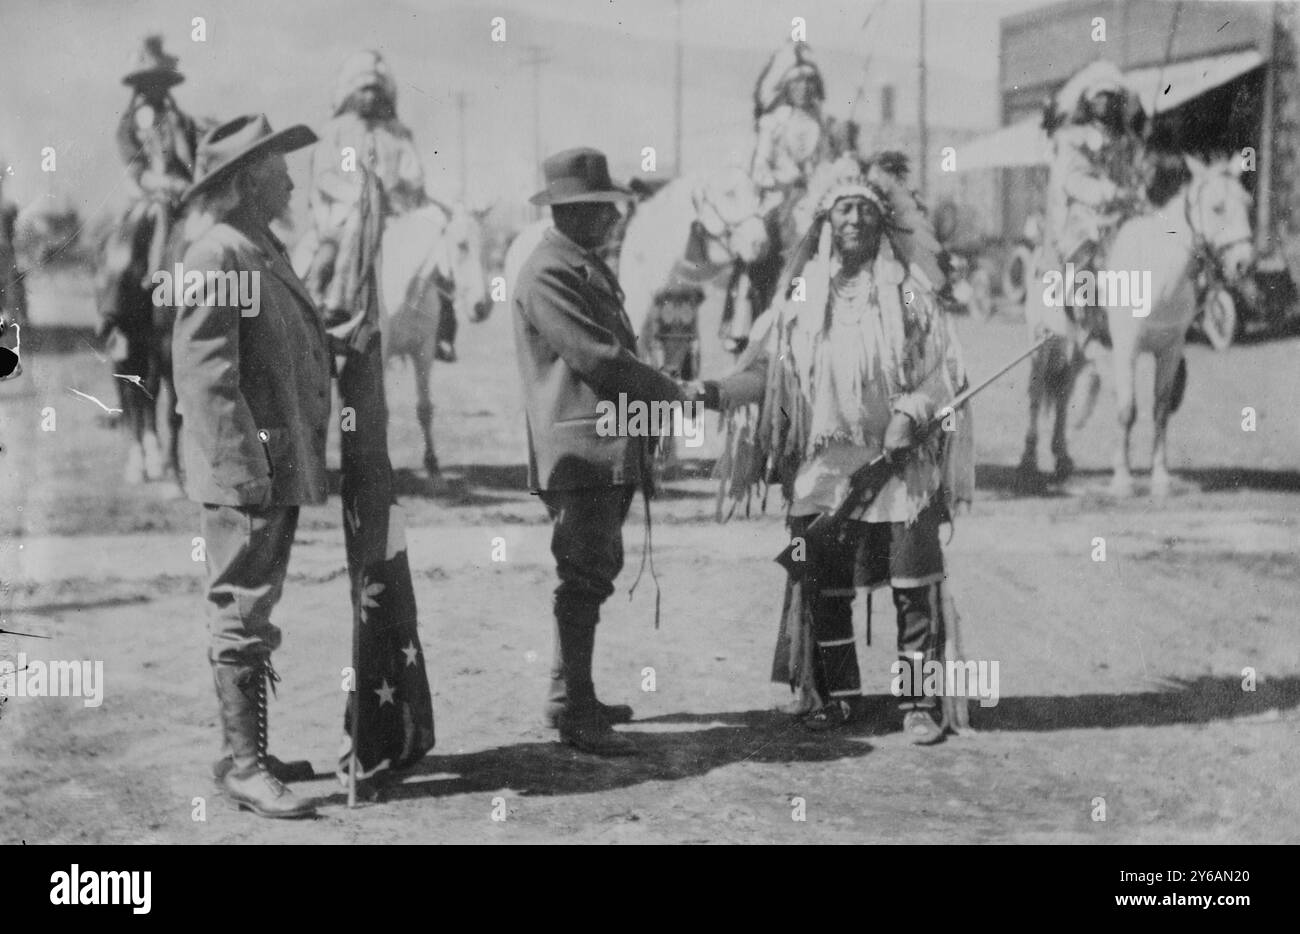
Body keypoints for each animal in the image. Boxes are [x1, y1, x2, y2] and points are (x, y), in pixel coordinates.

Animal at [1019, 155, 1253, 496]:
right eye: (1217, 207)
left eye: (1248, 203)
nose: (1244, 263)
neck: (1158, 273)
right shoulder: (1126, 349)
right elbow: (1126, 410)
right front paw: (1123, 480)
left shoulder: (1170, 350)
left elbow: (1160, 411)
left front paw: (1161, 479)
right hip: (1043, 344)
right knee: (1036, 395)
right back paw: (1027, 461)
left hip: (1078, 347)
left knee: (1063, 392)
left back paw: (1062, 458)